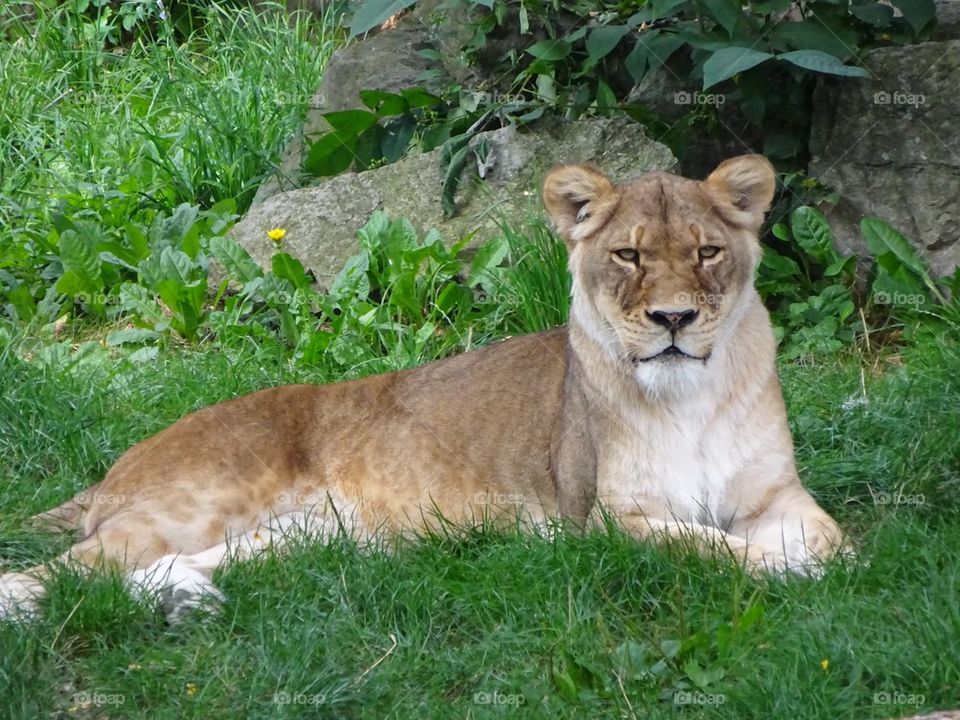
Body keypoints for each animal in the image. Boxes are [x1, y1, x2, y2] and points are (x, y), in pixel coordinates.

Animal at [0, 155, 844, 623]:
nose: (673, 319)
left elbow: (831, 542)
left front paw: (809, 561)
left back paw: (186, 604)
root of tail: (114, 467)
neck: (688, 397)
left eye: (706, 252)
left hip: (306, 539)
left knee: (155, 570)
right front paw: (781, 570)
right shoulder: (609, 520)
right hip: (190, 506)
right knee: (56, 572)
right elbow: (707, 546)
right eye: (629, 256)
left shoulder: (778, 495)